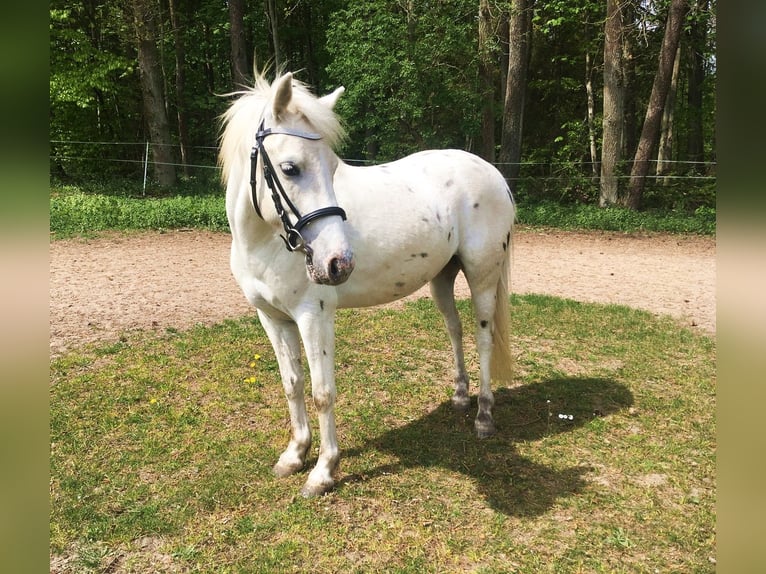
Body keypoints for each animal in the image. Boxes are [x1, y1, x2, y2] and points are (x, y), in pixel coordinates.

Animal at [219, 70, 516, 498]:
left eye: (332, 167)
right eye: (290, 168)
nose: (338, 263)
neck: (267, 242)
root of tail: (494, 174)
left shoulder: (314, 317)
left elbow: (322, 393)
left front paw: (323, 471)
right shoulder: (272, 318)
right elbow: (292, 384)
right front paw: (294, 455)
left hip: (482, 276)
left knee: (483, 337)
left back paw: (484, 417)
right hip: (442, 278)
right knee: (455, 329)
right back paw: (461, 397)